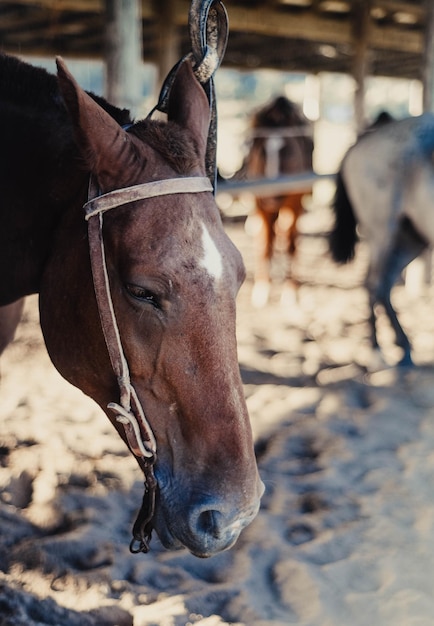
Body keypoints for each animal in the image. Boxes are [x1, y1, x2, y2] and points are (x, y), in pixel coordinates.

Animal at [242, 95, 314, 308]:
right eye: (261, 152)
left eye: (288, 152)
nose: (270, 194)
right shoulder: (261, 207)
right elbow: (265, 247)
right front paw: (261, 292)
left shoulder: (294, 205)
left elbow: (290, 246)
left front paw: (290, 293)